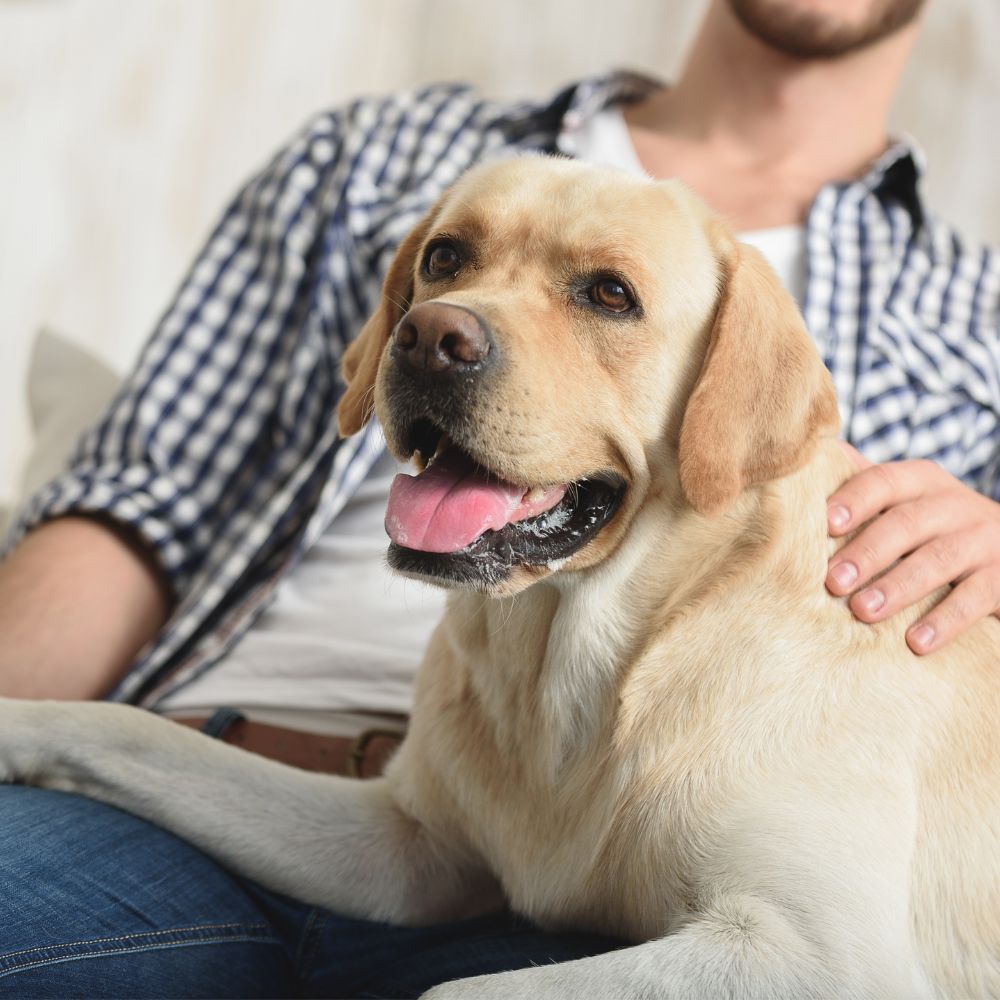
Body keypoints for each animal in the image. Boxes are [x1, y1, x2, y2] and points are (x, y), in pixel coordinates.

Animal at [1, 158, 1000, 1000]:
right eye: (445, 255)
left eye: (610, 294)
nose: (428, 338)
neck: (582, 669)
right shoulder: (405, 847)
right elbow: (130, 732)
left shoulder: (813, 951)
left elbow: (450, 990)